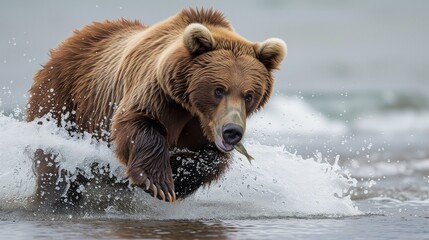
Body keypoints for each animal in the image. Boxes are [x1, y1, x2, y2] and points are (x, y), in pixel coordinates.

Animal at [27, 8, 288, 205]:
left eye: (249, 95)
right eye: (218, 89)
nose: (232, 131)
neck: (191, 107)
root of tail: (71, 39)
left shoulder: (203, 129)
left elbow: (210, 157)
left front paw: (179, 175)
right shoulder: (158, 93)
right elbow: (136, 124)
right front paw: (157, 182)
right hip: (63, 100)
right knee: (54, 166)